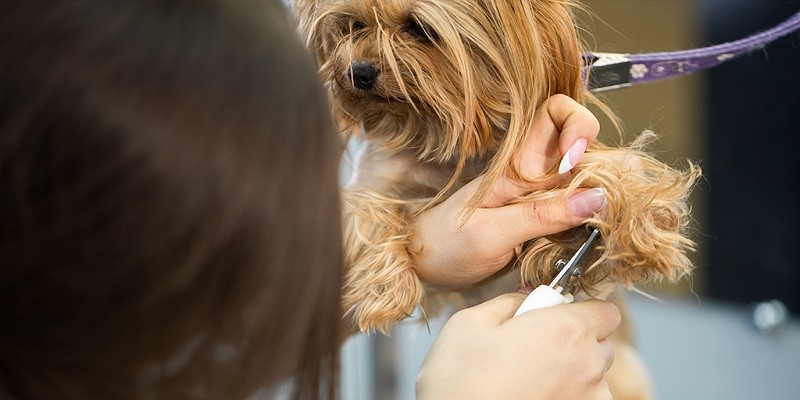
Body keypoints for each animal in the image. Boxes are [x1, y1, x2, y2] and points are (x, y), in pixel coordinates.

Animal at [292, 0, 700, 396]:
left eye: (420, 29)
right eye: (352, 25)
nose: (359, 72)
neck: (436, 134)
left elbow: (605, 173)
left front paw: (642, 233)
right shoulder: (376, 179)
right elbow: (364, 209)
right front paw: (384, 291)